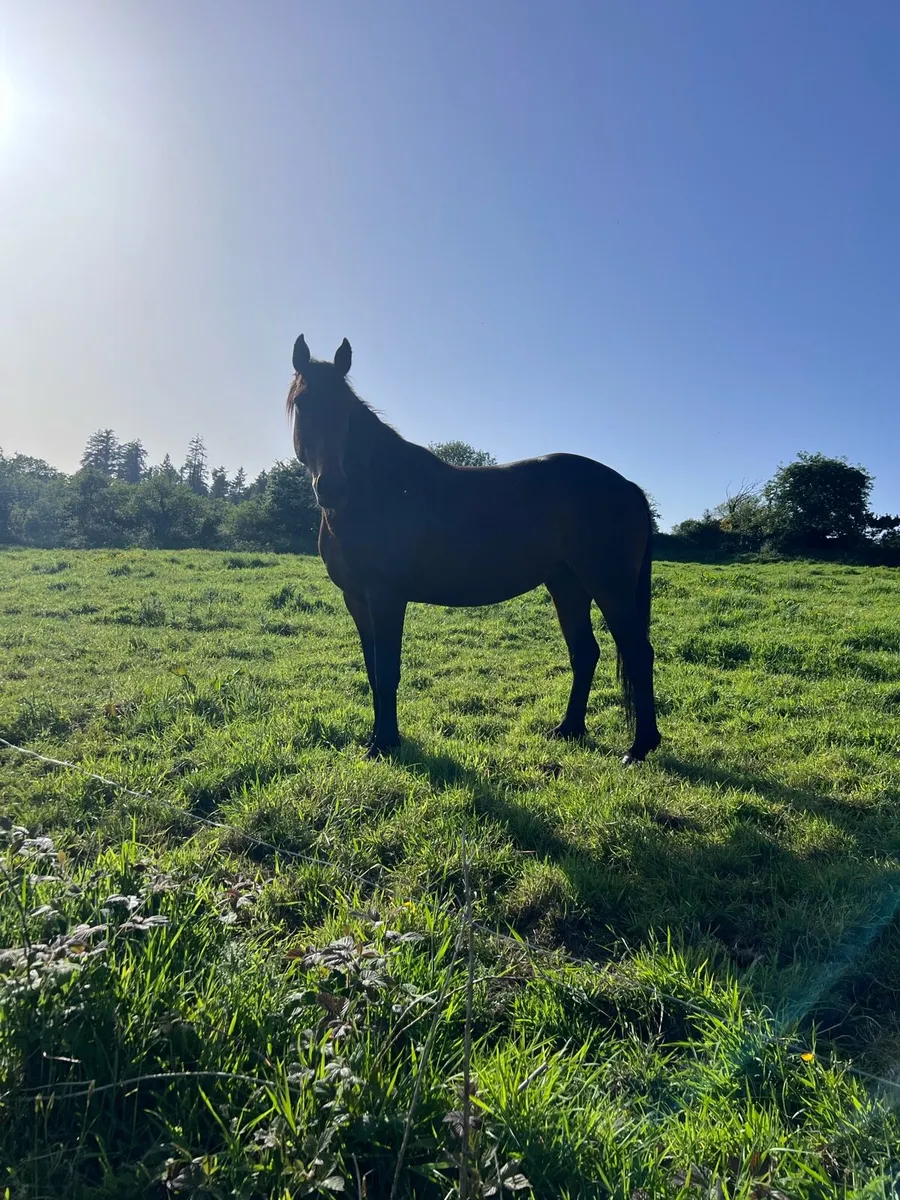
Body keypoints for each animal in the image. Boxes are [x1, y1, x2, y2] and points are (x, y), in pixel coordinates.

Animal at [285, 335, 661, 765]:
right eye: (303, 403)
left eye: (345, 409)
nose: (332, 488)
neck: (379, 490)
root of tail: (628, 486)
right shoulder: (357, 600)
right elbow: (372, 671)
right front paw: (379, 739)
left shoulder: (386, 598)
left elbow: (388, 669)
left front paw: (385, 742)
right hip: (568, 586)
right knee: (585, 652)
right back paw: (568, 729)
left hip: (609, 587)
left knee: (638, 654)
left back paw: (639, 747)